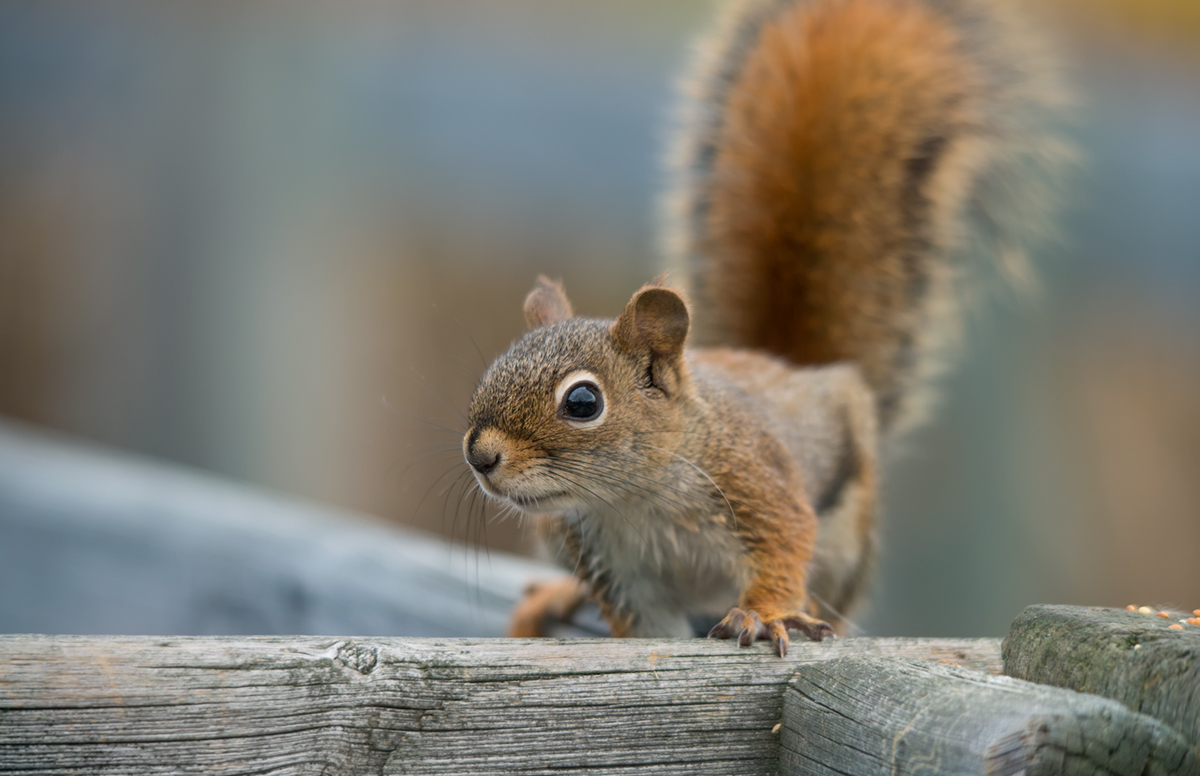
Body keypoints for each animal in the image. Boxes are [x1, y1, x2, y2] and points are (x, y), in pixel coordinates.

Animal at [462, 0, 1067, 656]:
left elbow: (784, 545)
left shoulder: (757, 483)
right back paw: (556, 595)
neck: (632, 500)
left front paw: (766, 614)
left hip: (848, 536)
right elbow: (649, 633)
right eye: (491, 370)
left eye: (582, 402)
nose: (480, 456)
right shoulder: (612, 564)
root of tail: (796, 368)